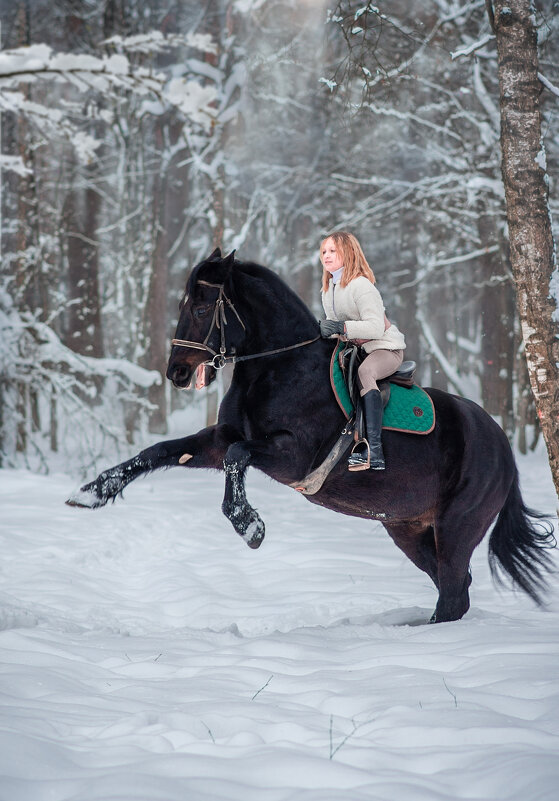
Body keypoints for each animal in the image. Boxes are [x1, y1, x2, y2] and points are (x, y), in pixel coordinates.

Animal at [70, 247, 556, 620]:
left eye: (203, 308)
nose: (177, 372)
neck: (278, 366)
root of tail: (502, 448)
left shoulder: (292, 456)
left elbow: (238, 457)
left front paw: (250, 526)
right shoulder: (221, 437)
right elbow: (161, 451)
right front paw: (92, 492)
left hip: (456, 527)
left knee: (454, 592)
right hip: (409, 530)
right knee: (455, 590)